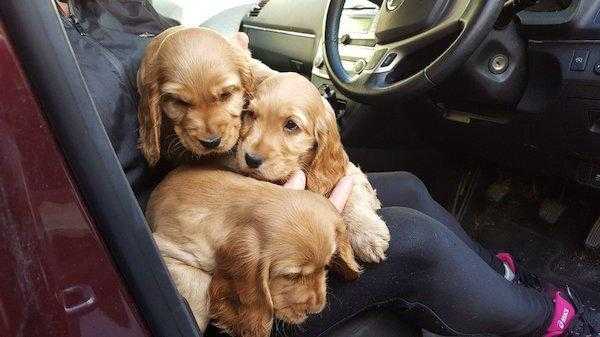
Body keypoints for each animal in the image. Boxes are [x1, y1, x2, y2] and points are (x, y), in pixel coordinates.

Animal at [232, 73, 392, 262]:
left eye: (291, 125)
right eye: (251, 114)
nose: (250, 159)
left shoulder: (350, 172)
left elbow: (354, 194)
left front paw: (366, 233)